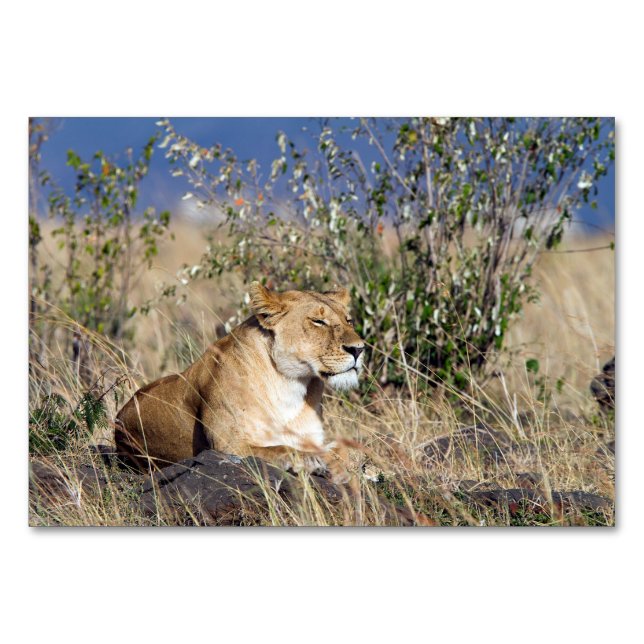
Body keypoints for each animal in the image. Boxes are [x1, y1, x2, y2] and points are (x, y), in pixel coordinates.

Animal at [114, 282, 365, 480]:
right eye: (318, 321)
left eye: (349, 320)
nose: (359, 349)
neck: (290, 384)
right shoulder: (227, 447)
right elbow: (279, 449)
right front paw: (310, 461)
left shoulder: (313, 438)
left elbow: (350, 449)